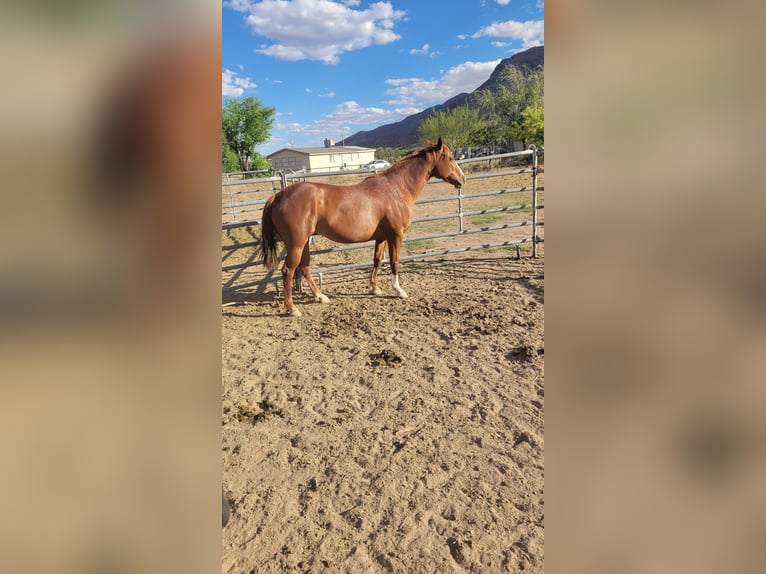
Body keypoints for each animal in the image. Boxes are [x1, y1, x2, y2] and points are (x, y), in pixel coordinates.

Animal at [261, 138, 466, 316]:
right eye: (450, 158)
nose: (462, 179)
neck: (396, 189)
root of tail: (278, 196)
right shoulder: (396, 235)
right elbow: (394, 261)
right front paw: (399, 290)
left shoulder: (381, 237)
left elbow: (377, 260)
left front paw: (375, 288)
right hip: (296, 244)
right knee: (288, 271)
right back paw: (293, 309)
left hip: (303, 243)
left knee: (305, 267)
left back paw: (320, 296)